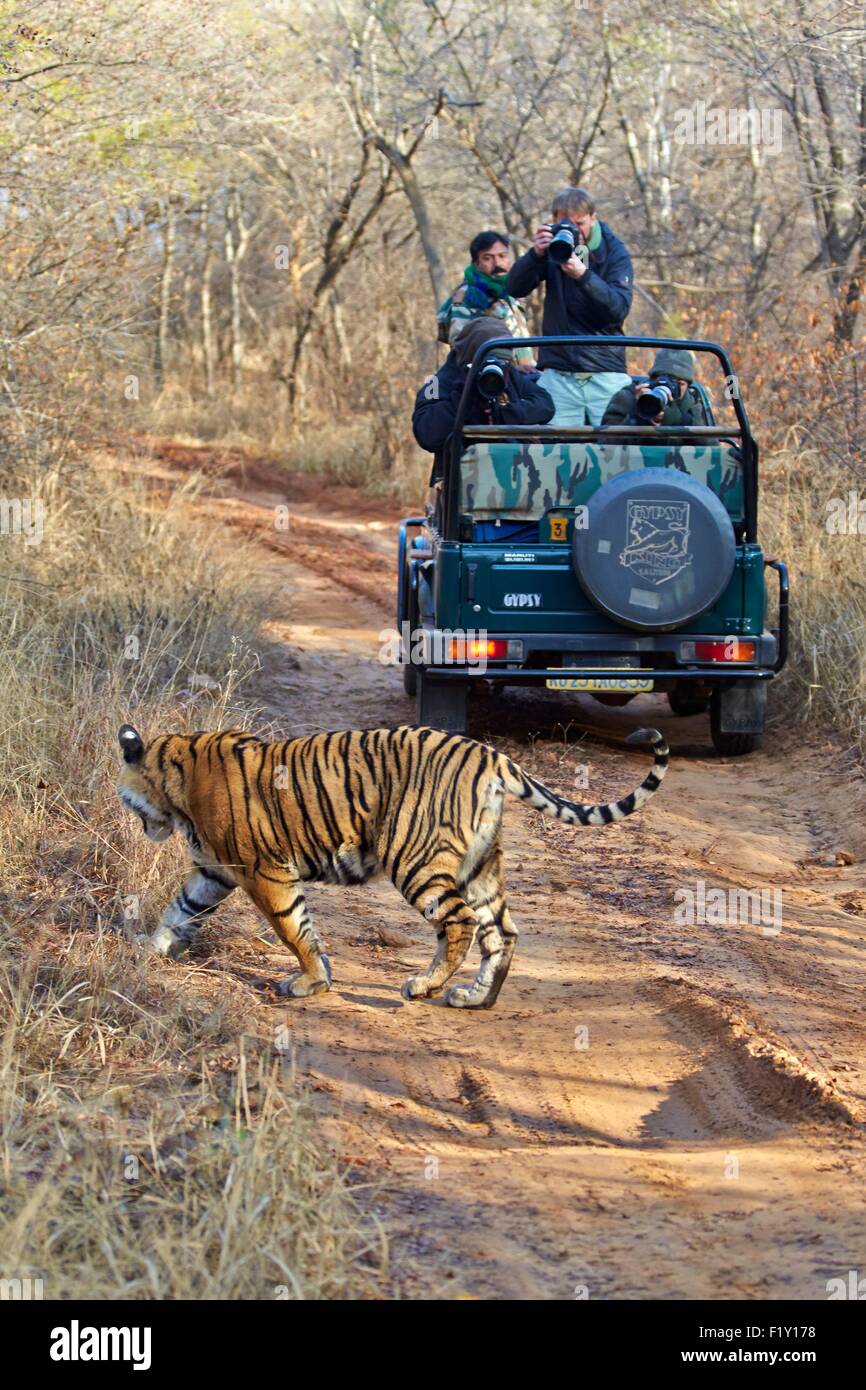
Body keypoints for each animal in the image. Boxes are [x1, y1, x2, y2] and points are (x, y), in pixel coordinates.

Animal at [116, 723, 668, 1010]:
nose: (139, 824)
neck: (176, 781)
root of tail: (493, 757)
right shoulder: (214, 872)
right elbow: (178, 910)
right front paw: (148, 948)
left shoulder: (263, 871)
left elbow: (294, 929)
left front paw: (310, 982)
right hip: (481, 865)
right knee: (502, 933)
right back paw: (475, 998)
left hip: (417, 859)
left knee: (461, 923)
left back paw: (425, 986)